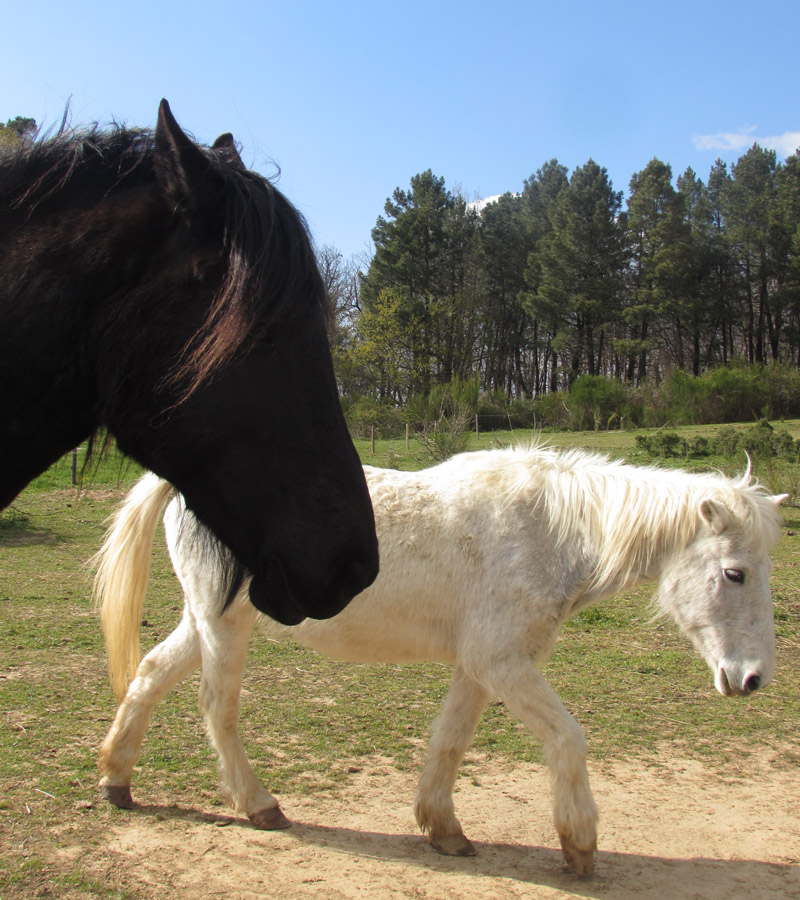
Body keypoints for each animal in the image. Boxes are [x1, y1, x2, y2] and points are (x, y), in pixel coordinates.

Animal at [93, 446, 786, 875]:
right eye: (735, 573)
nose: (752, 678)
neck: (550, 530)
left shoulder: (481, 665)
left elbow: (450, 741)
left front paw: (443, 827)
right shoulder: (502, 661)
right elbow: (568, 738)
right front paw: (579, 843)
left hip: (203, 619)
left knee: (149, 676)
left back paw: (117, 781)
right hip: (223, 624)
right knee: (218, 709)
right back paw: (259, 805)